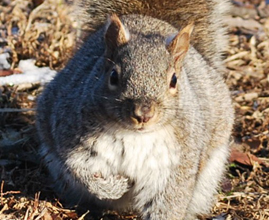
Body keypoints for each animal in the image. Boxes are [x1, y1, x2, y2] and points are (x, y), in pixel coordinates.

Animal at [35, 0, 232, 219]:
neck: (135, 136)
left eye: (174, 80)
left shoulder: (176, 164)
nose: (143, 114)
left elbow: (168, 201)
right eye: (113, 76)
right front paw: (115, 187)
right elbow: (82, 171)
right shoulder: (73, 136)